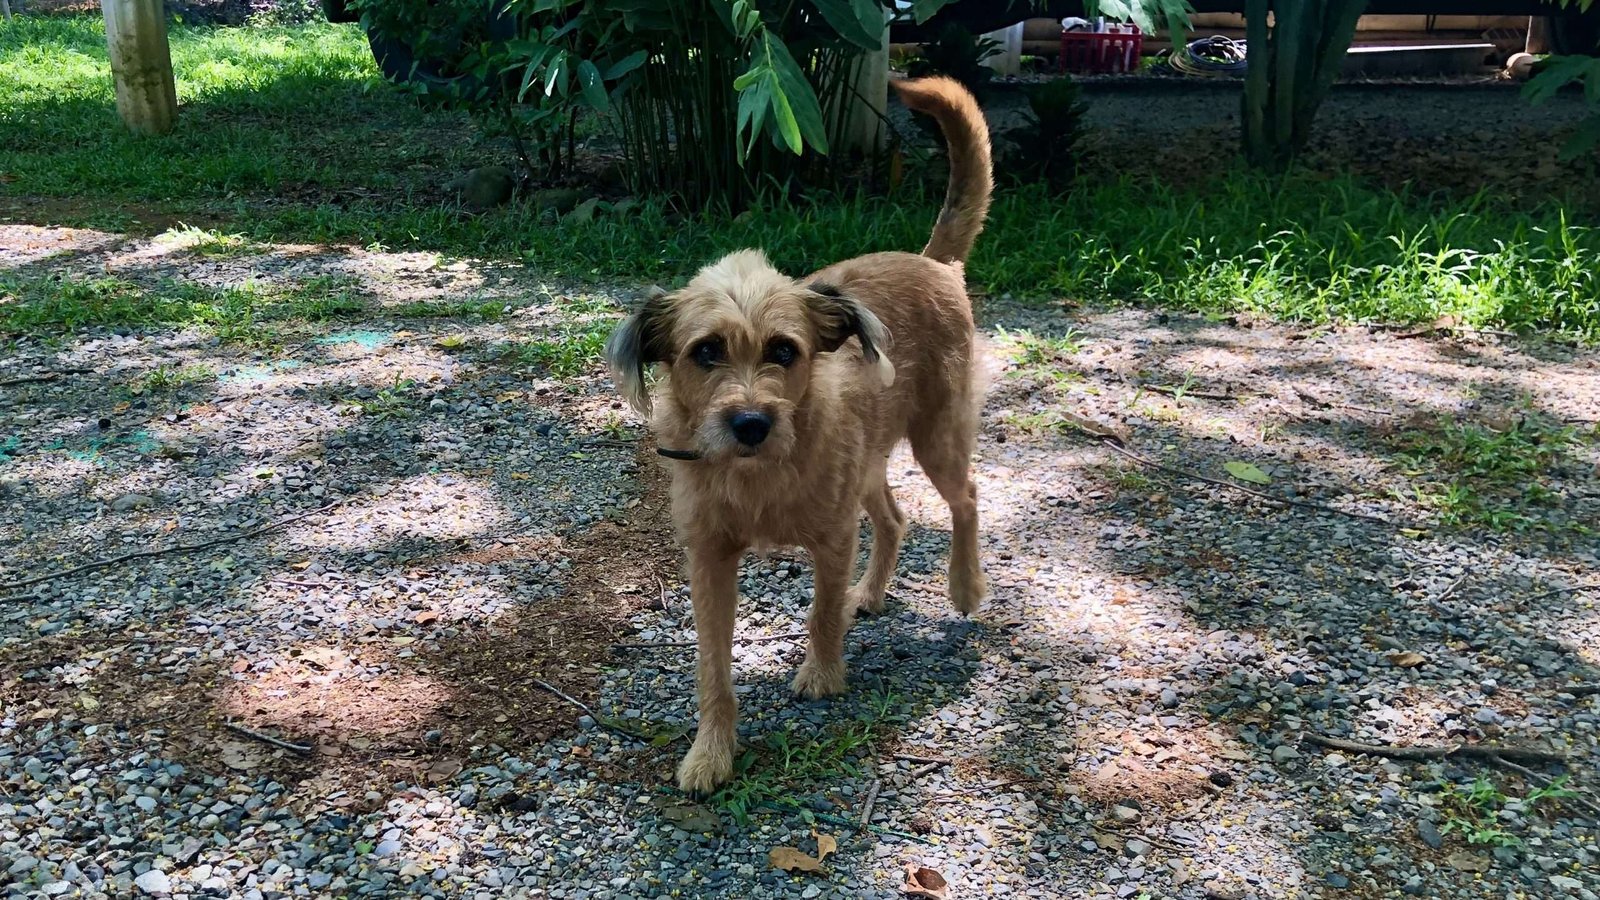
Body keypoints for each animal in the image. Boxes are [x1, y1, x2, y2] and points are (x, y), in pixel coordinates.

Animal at [604, 78, 992, 791]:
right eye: (705, 351)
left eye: (784, 351)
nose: (752, 423)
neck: (756, 476)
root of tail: (936, 264)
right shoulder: (709, 559)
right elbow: (712, 666)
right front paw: (711, 750)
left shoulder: (832, 538)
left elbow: (819, 609)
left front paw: (822, 672)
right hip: (869, 463)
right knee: (894, 518)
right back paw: (871, 593)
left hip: (939, 438)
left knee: (967, 499)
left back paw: (964, 586)